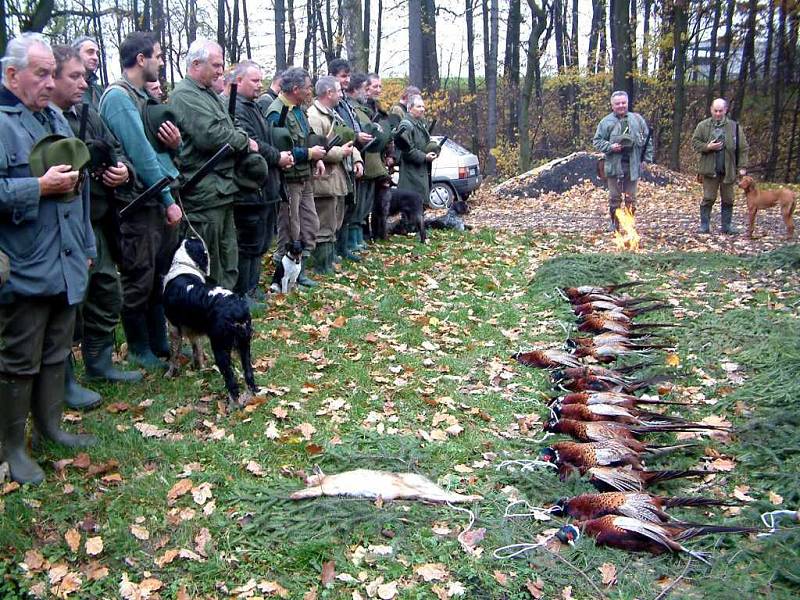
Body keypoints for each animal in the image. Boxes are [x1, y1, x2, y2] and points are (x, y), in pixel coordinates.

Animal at [164, 239, 258, 408]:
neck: (183, 266)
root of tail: (237, 308)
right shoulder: (194, 331)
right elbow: (198, 349)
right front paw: (200, 368)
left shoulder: (173, 327)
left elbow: (174, 354)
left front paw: (170, 373)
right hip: (244, 345)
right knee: (249, 373)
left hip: (220, 348)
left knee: (231, 380)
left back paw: (233, 406)